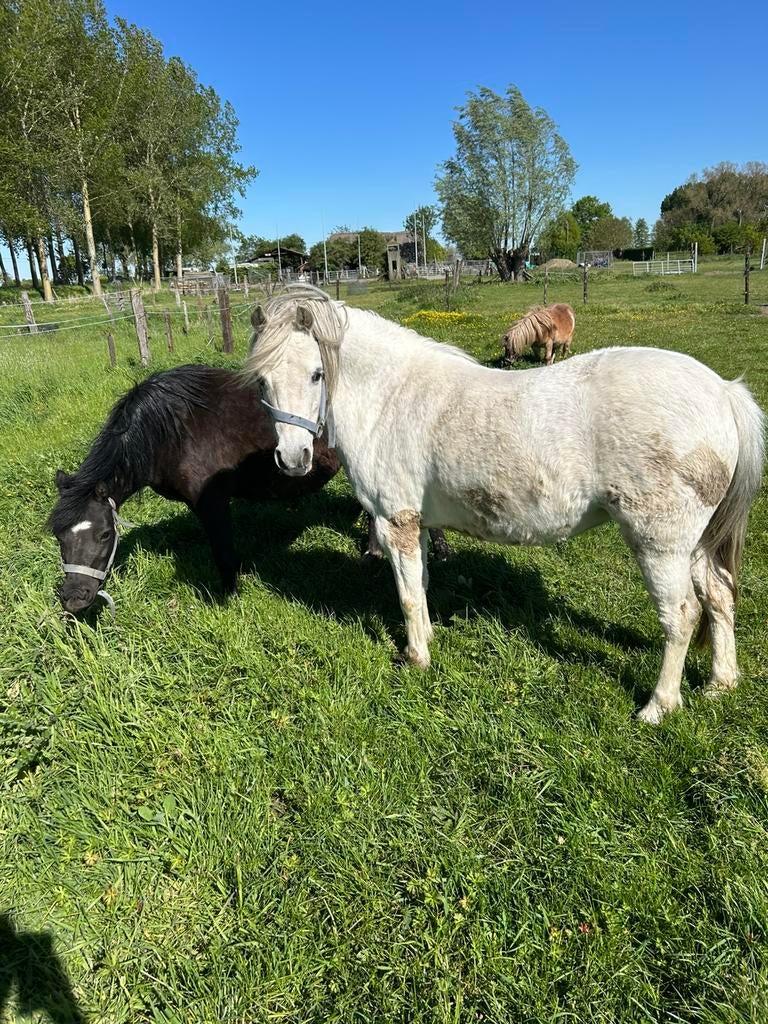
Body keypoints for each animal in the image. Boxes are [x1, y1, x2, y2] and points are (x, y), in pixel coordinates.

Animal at [49, 364, 450, 615]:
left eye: (104, 534)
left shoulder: (212, 503)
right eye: (59, 536)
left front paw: (228, 596)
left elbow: (224, 554)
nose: (73, 600)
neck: (171, 432)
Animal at [245, 285, 764, 724]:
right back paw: (720, 683)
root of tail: (722, 391)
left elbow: (408, 595)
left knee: (682, 615)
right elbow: (423, 586)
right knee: (718, 596)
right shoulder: (418, 526)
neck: (391, 398)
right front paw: (427, 640)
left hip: (660, 545)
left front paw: (416, 658)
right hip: (696, 543)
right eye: (263, 382)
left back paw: (658, 706)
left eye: (316, 374)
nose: (293, 459)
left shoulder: (396, 523)